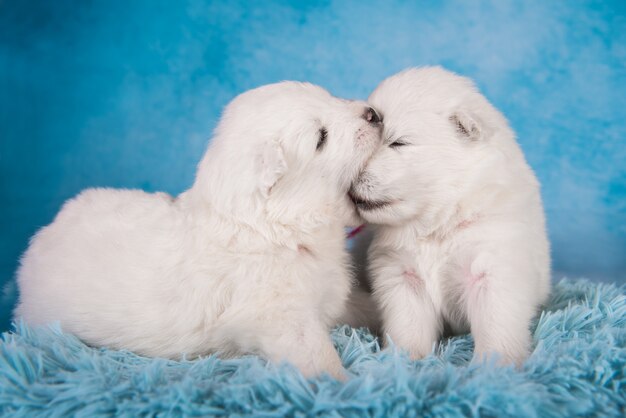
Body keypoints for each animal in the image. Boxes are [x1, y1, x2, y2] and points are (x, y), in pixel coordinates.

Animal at [14, 80, 382, 378]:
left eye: (330, 96)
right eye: (321, 138)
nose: (374, 114)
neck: (278, 228)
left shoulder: (331, 295)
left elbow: (362, 303)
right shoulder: (282, 318)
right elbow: (318, 357)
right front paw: (342, 388)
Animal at [348, 67, 548, 364]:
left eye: (398, 142)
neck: (437, 223)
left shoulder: (492, 268)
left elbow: (496, 322)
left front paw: (497, 365)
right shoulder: (401, 273)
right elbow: (407, 323)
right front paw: (404, 359)